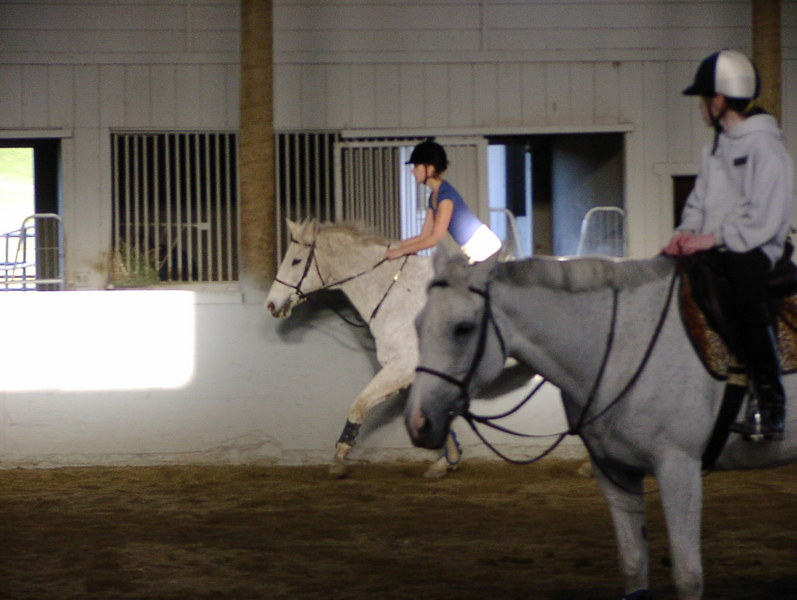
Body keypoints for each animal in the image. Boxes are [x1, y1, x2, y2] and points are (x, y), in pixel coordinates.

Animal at [265, 219, 466, 479]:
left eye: (296, 261)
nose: (271, 304)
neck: (395, 289)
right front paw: (447, 461)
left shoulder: (403, 366)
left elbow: (359, 404)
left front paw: (339, 459)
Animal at [405, 244, 797, 600]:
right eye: (418, 326)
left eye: (463, 328)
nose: (418, 422)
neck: (620, 347)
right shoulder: (614, 472)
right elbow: (633, 566)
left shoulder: (679, 469)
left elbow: (688, 577)